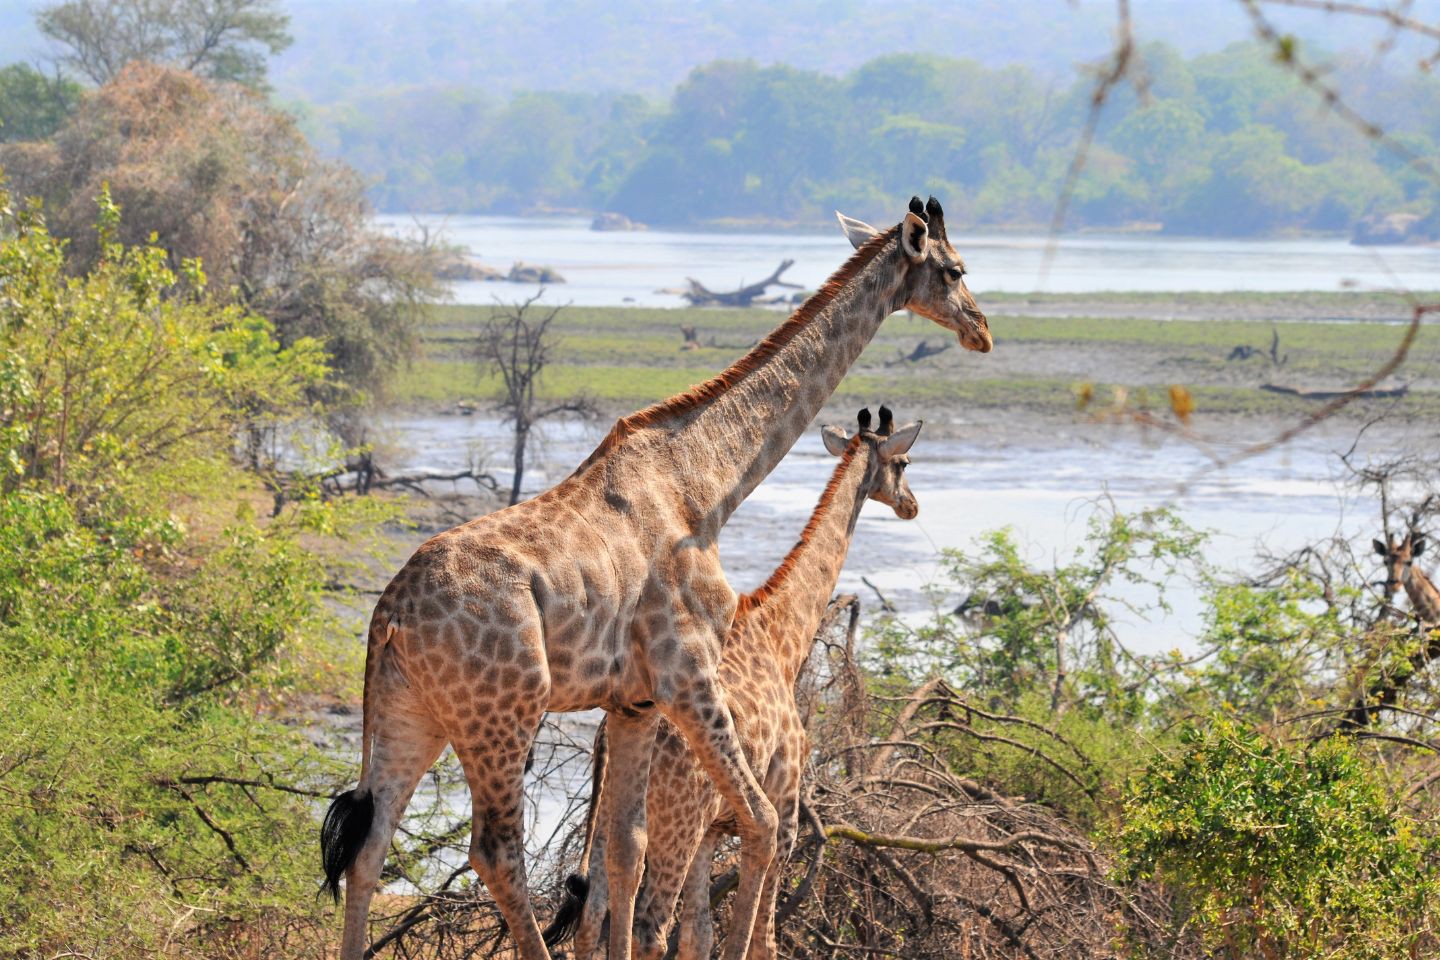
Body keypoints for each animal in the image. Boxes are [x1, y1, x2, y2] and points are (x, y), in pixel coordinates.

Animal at [544, 408, 927, 960]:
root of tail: (598, 740)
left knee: (595, 914)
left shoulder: (713, 831)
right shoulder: (785, 808)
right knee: (650, 925)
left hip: (618, 818)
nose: (911, 505)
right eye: (903, 462)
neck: (784, 636)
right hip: (676, 822)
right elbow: (760, 936)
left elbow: (700, 936)